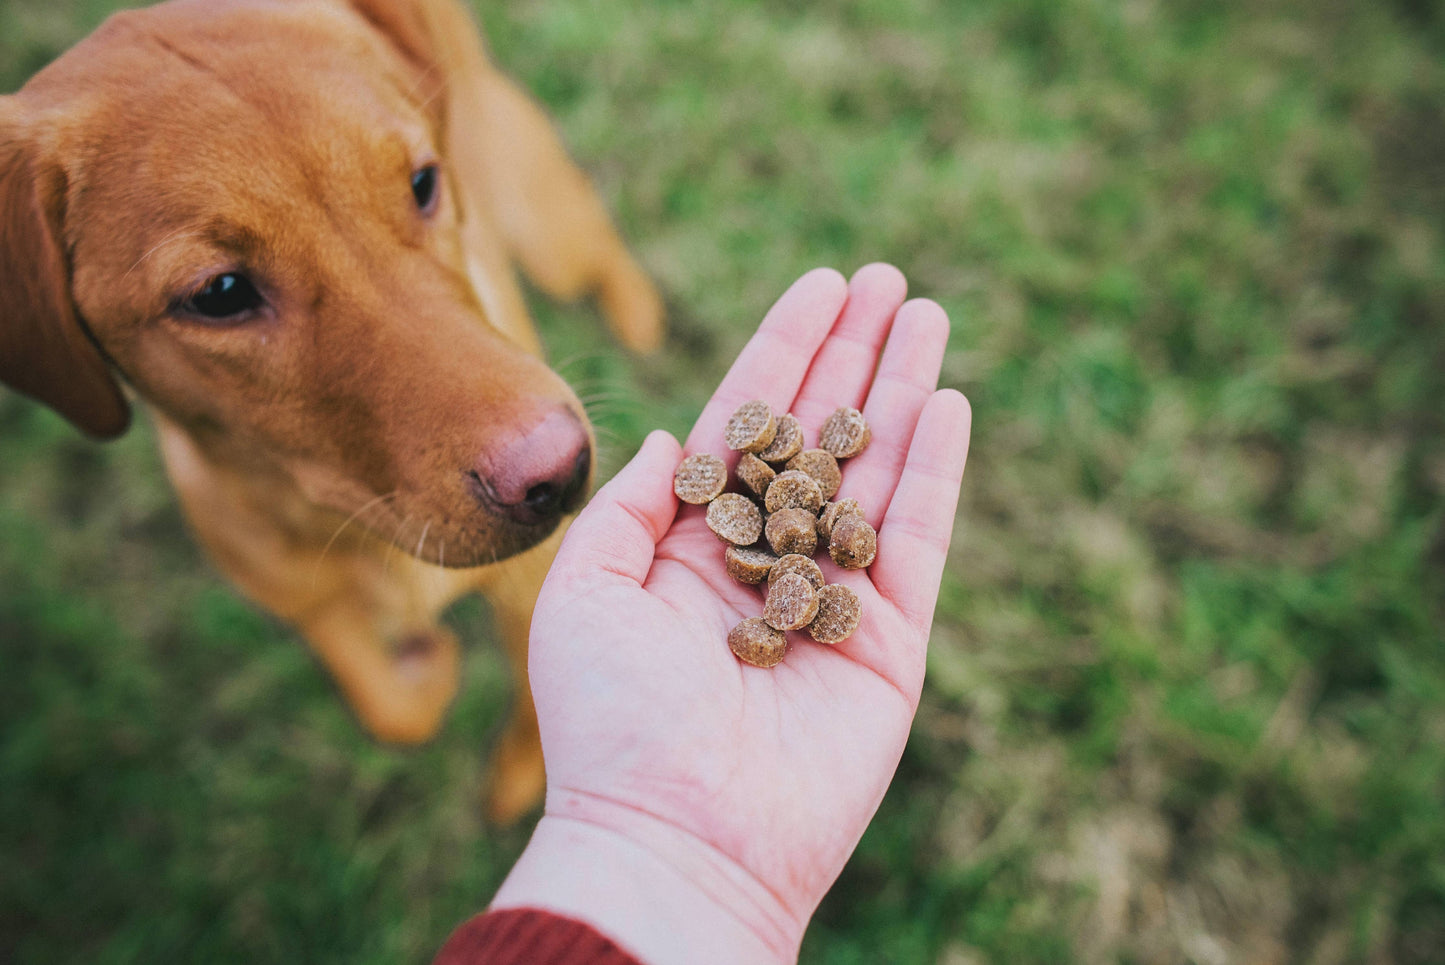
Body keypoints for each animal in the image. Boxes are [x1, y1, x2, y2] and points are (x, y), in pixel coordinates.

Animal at [0, 0, 664, 820]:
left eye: (422, 183)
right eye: (220, 293)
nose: (561, 473)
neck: (355, 521)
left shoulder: (532, 586)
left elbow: (538, 709)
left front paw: (514, 774)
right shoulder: (299, 601)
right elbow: (387, 705)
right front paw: (425, 671)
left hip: (538, 218)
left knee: (596, 244)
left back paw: (640, 315)